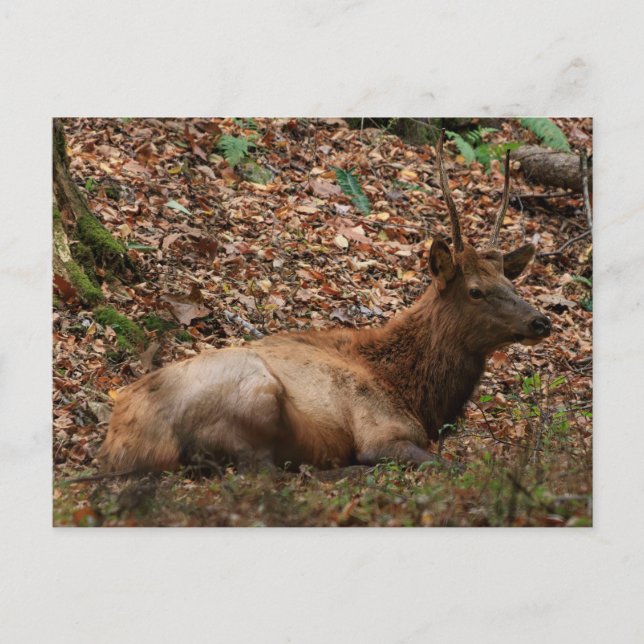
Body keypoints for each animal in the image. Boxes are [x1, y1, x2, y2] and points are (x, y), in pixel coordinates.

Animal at [97, 131, 551, 476]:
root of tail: (120, 442)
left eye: (509, 280)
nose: (541, 321)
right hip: (254, 395)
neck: (420, 399)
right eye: (475, 289)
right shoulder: (380, 433)